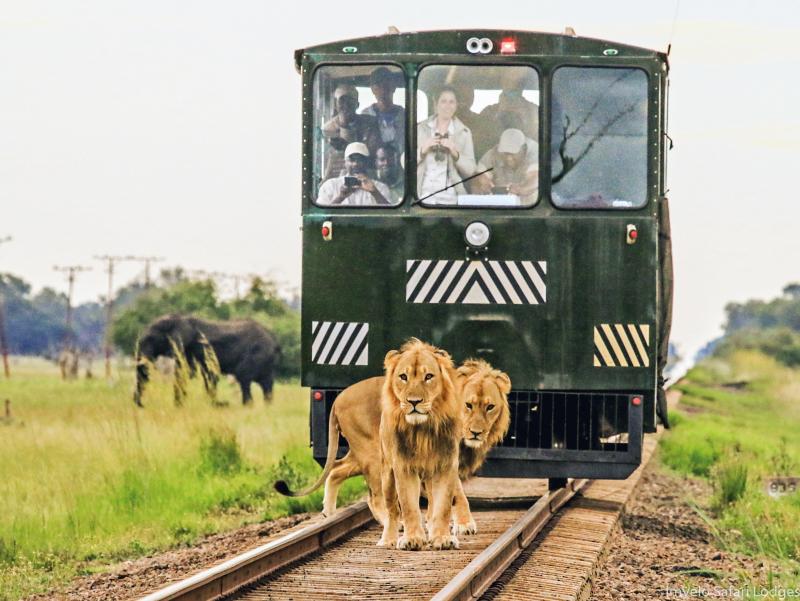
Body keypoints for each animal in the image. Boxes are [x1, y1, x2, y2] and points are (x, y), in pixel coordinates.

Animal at [133, 314, 281, 407]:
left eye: (151, 339)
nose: (141, 404)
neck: (179, 318)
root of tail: (274, 340)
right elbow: (201, 374)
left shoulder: (189, 346)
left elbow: (187, 373)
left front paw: (179, 406)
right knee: (266, 384)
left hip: (257, 353)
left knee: (244, 377)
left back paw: (247, 406)